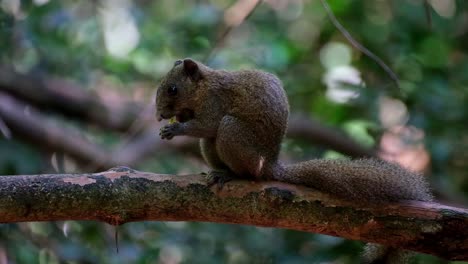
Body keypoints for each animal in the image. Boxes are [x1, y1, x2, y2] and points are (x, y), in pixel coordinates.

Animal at [155, 58, 434, 264]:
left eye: (172, 89)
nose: (159, 115)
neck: (203, 86)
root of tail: (269, 166)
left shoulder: (215, 102)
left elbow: (207, 125)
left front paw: (175, 129)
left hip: (233, 133)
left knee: (239, 160)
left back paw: (231, 174)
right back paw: (216, 172)